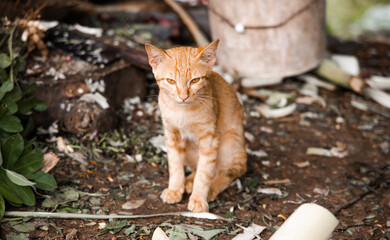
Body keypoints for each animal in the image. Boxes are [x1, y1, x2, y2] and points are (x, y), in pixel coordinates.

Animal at [145, 39, 245, 212]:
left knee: (228, 172)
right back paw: (188, 182)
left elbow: (204, 173)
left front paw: (199, 198)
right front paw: (175, 189)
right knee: (197, 166)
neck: (182, 113)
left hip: (229, 144)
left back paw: (211, 188)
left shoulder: (210, 138)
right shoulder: (171, 134)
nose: (183, 96)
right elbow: (175, 165)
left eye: (195, 80)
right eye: (171, 81)